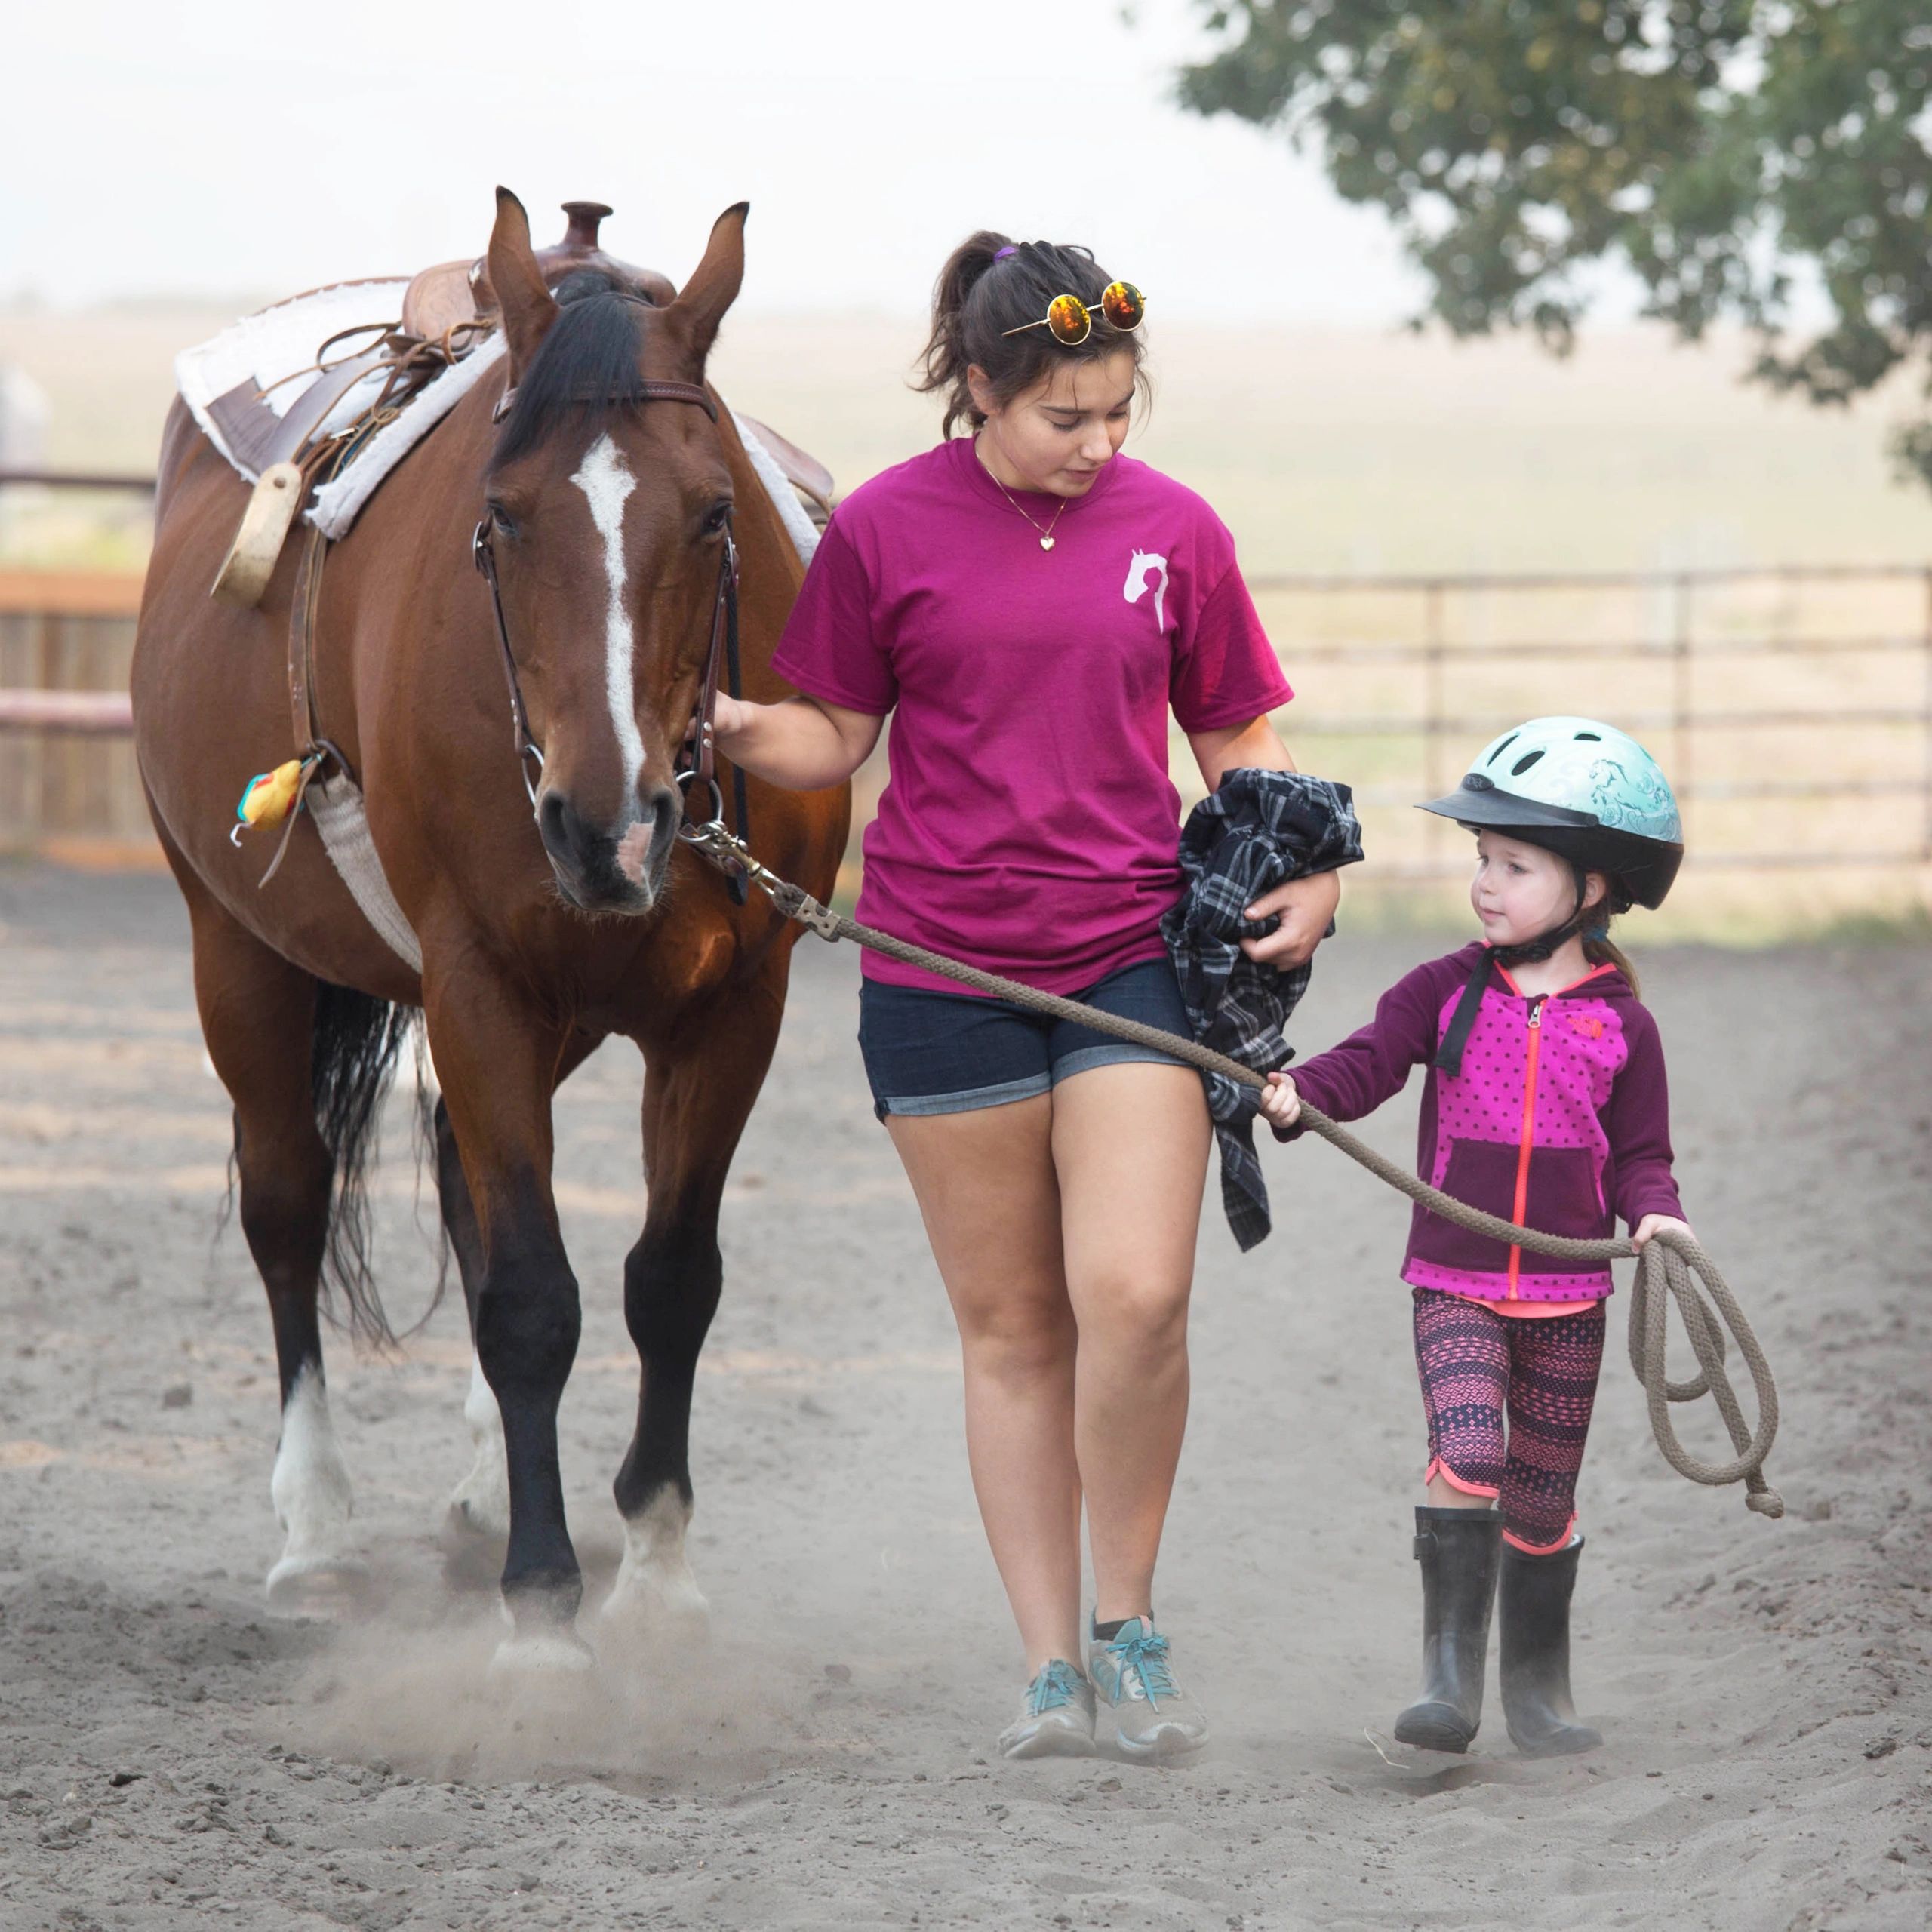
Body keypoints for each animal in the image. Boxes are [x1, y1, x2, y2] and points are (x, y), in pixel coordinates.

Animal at [125, 192, 842, 1677]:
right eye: (501, 519)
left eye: (712, 514)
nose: (604, 824)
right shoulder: (479, 982)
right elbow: (528, 1298)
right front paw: (544, 1614)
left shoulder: (733, 1008)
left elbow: (668, 1280)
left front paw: (658, 1580)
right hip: (239, 953)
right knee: (288, 1206)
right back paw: (317, 1540)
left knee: (461, 1179)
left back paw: (472, 1504)